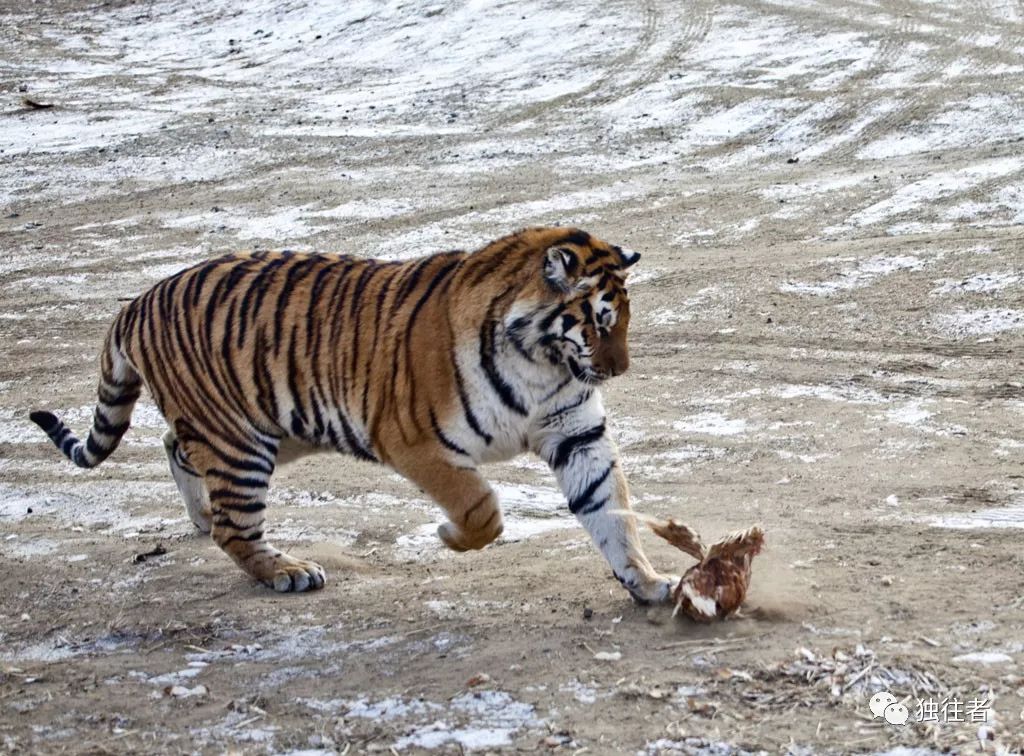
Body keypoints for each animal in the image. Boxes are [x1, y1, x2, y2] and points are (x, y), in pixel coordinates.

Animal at [28, 223, 675, 602]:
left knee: (175, 449)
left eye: (621, 318)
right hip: (242, 443)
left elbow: (612, 510)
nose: (618, 370)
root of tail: (133, 303)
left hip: (269, 427)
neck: (540, 362)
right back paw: (287, 570)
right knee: (234, 526)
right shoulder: (412, 439)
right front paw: (449, 536)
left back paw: (201, 516)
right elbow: (479, 508)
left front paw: (647, 581)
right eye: (599, 321)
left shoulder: (576, 432)